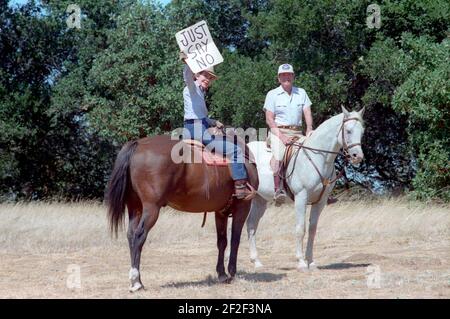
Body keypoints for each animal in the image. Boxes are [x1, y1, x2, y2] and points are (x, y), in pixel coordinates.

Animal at [106, 135, 258, 292]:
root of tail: (138, 145)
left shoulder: (220, 212)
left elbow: (222, 242)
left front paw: (222, 274)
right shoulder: (242, 208)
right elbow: (235, 240)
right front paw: (232, 272)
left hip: (135, 207)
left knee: (131, 235)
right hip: (151, 208)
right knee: (138, 236)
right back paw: (136, 281)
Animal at [246, 107, 366, 270]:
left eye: (362, 131)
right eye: (348, 131)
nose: (357, 157)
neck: (319, 158)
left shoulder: (320, 202)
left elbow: (312, 230)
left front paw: (312, 262)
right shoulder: (301, 198)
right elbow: (300, 229)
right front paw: (301, 262)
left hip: (260, 200)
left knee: (251, 224)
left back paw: (257, 262)